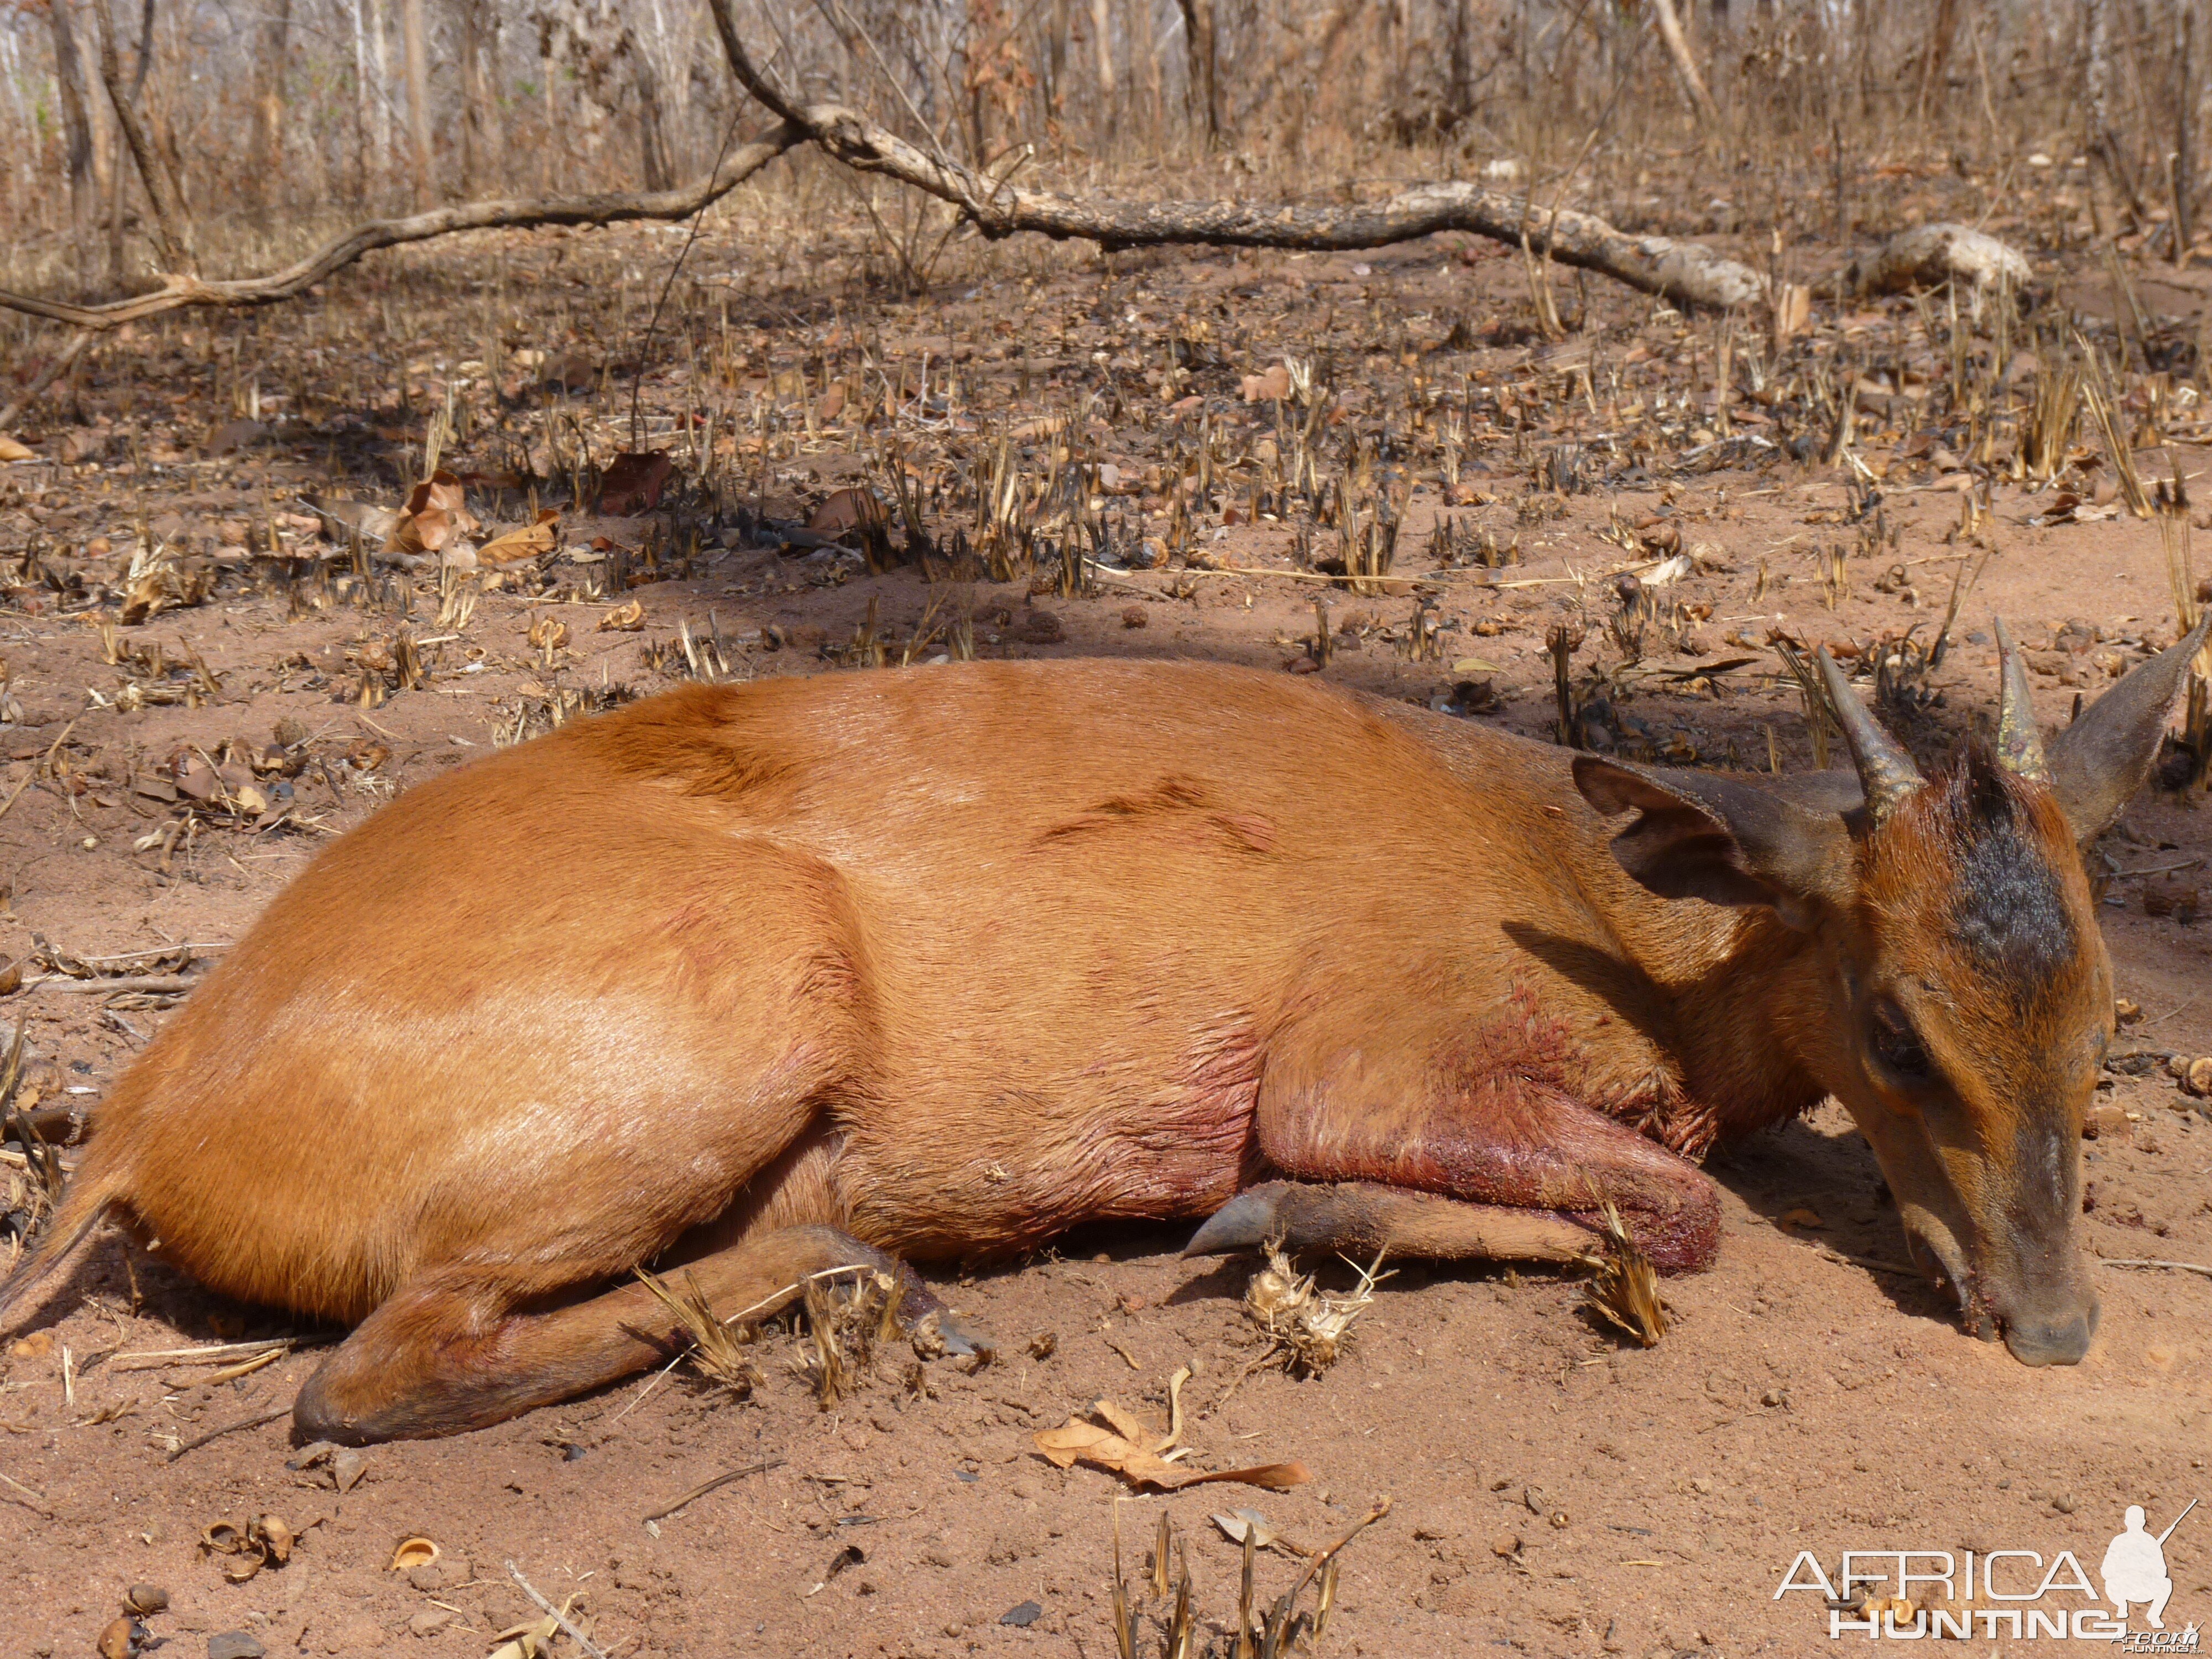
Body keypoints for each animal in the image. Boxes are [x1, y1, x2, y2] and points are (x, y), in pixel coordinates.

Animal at [0, 619, 2203, 1433]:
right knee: (366, 1372)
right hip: (737, 1010)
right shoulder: (1360, 1050)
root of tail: (136, 1120)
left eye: (2108, 1007)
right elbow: (1681, 1206)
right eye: (1898, 1024)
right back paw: (857, 1280)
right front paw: (1267, 1216)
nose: (2053, 1321)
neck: (1623, 930)